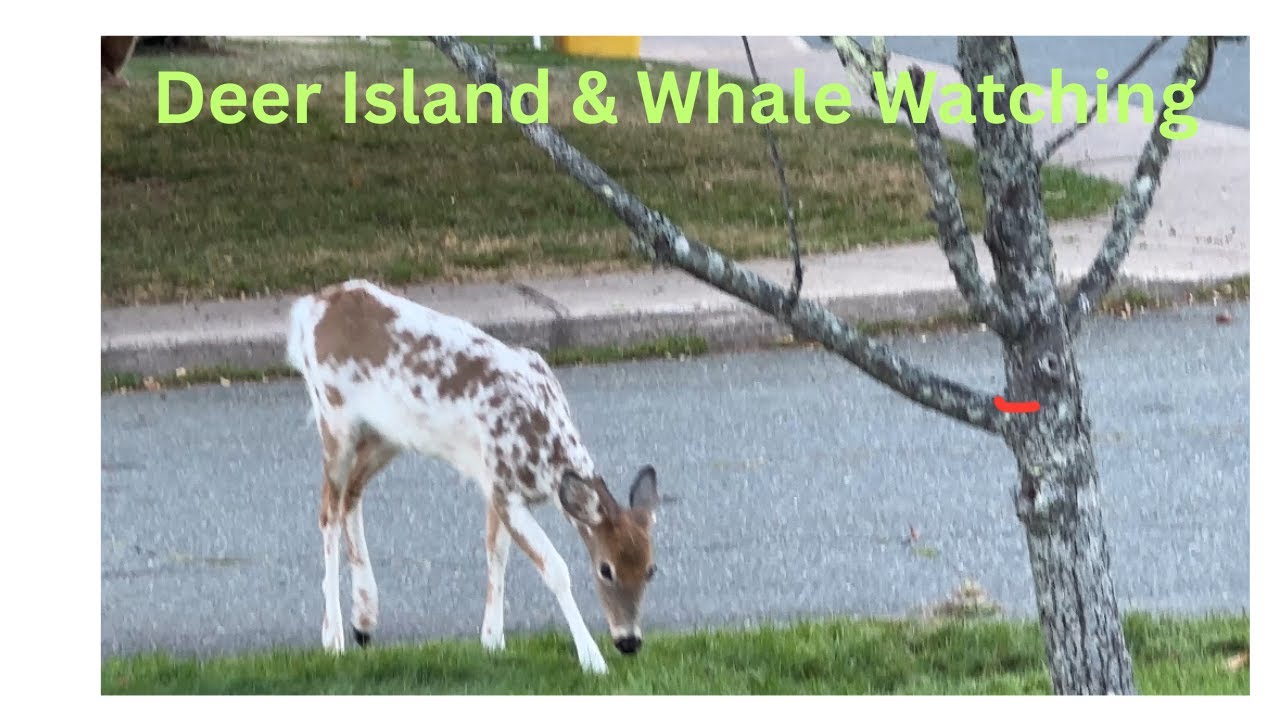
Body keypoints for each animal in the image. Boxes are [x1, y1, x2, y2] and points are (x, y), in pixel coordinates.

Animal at [284, 278, 661, 674]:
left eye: (651, 568)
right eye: (606, 569)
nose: (629, 641)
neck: (543, 456)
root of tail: (311, 307)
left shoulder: (494, 484)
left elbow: (496, 552)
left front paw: (493, 641)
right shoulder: (504, 487)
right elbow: (555, 569)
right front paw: (592, 660)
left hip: (387, 434)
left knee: (351, 496)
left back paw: (365, 619)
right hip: (334, 415)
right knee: (328, 509)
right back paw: (334, 637)